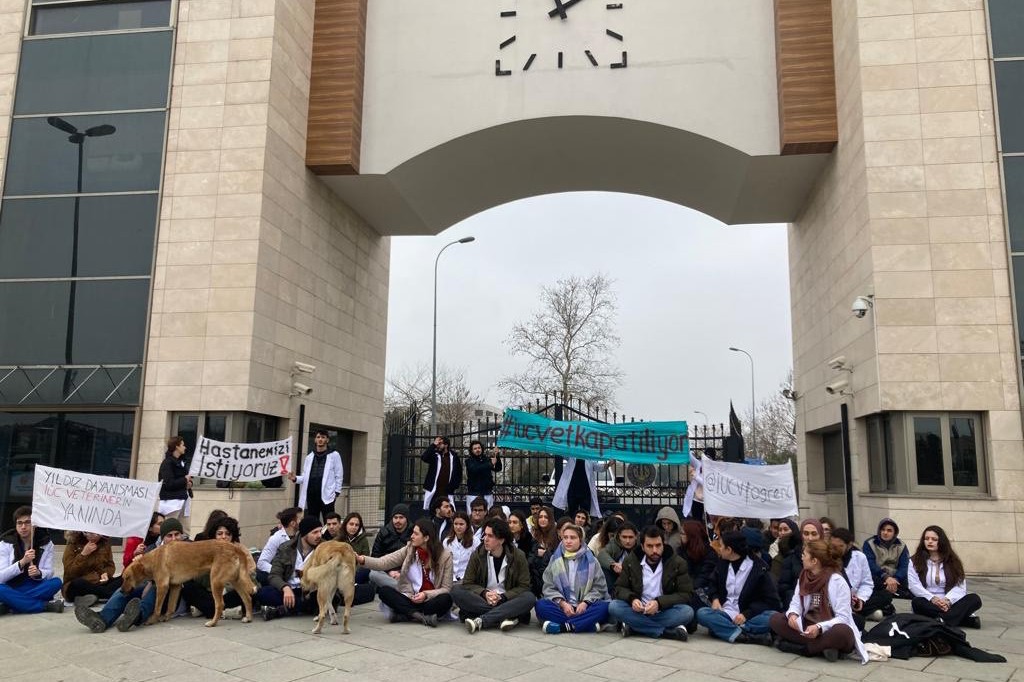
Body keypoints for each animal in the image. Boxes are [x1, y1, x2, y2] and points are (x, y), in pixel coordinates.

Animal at [120, 540, 258, 626]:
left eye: (127, 577)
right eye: (123, 578)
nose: (121, 591)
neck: (153, 559)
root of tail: (235, 547)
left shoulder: (162, 586)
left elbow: (157, 607)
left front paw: (152, 619)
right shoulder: (175, 586)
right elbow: (170, 607)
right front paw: (166, 617)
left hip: (215, 581)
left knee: (220, 605)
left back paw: (213, 623)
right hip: (236, 581)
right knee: (247, 598)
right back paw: (248, 618)